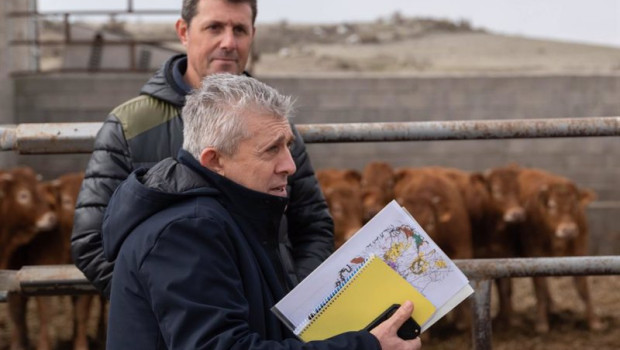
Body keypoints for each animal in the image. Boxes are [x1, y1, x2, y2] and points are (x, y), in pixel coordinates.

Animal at [516, 167, 604, 334]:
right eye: (551, 205)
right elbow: (540, 288)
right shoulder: (534, 253)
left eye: (575, 204)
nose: (568, 230)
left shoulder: (580, 250)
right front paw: (541, 324)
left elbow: (583, 287)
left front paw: (594, 322)